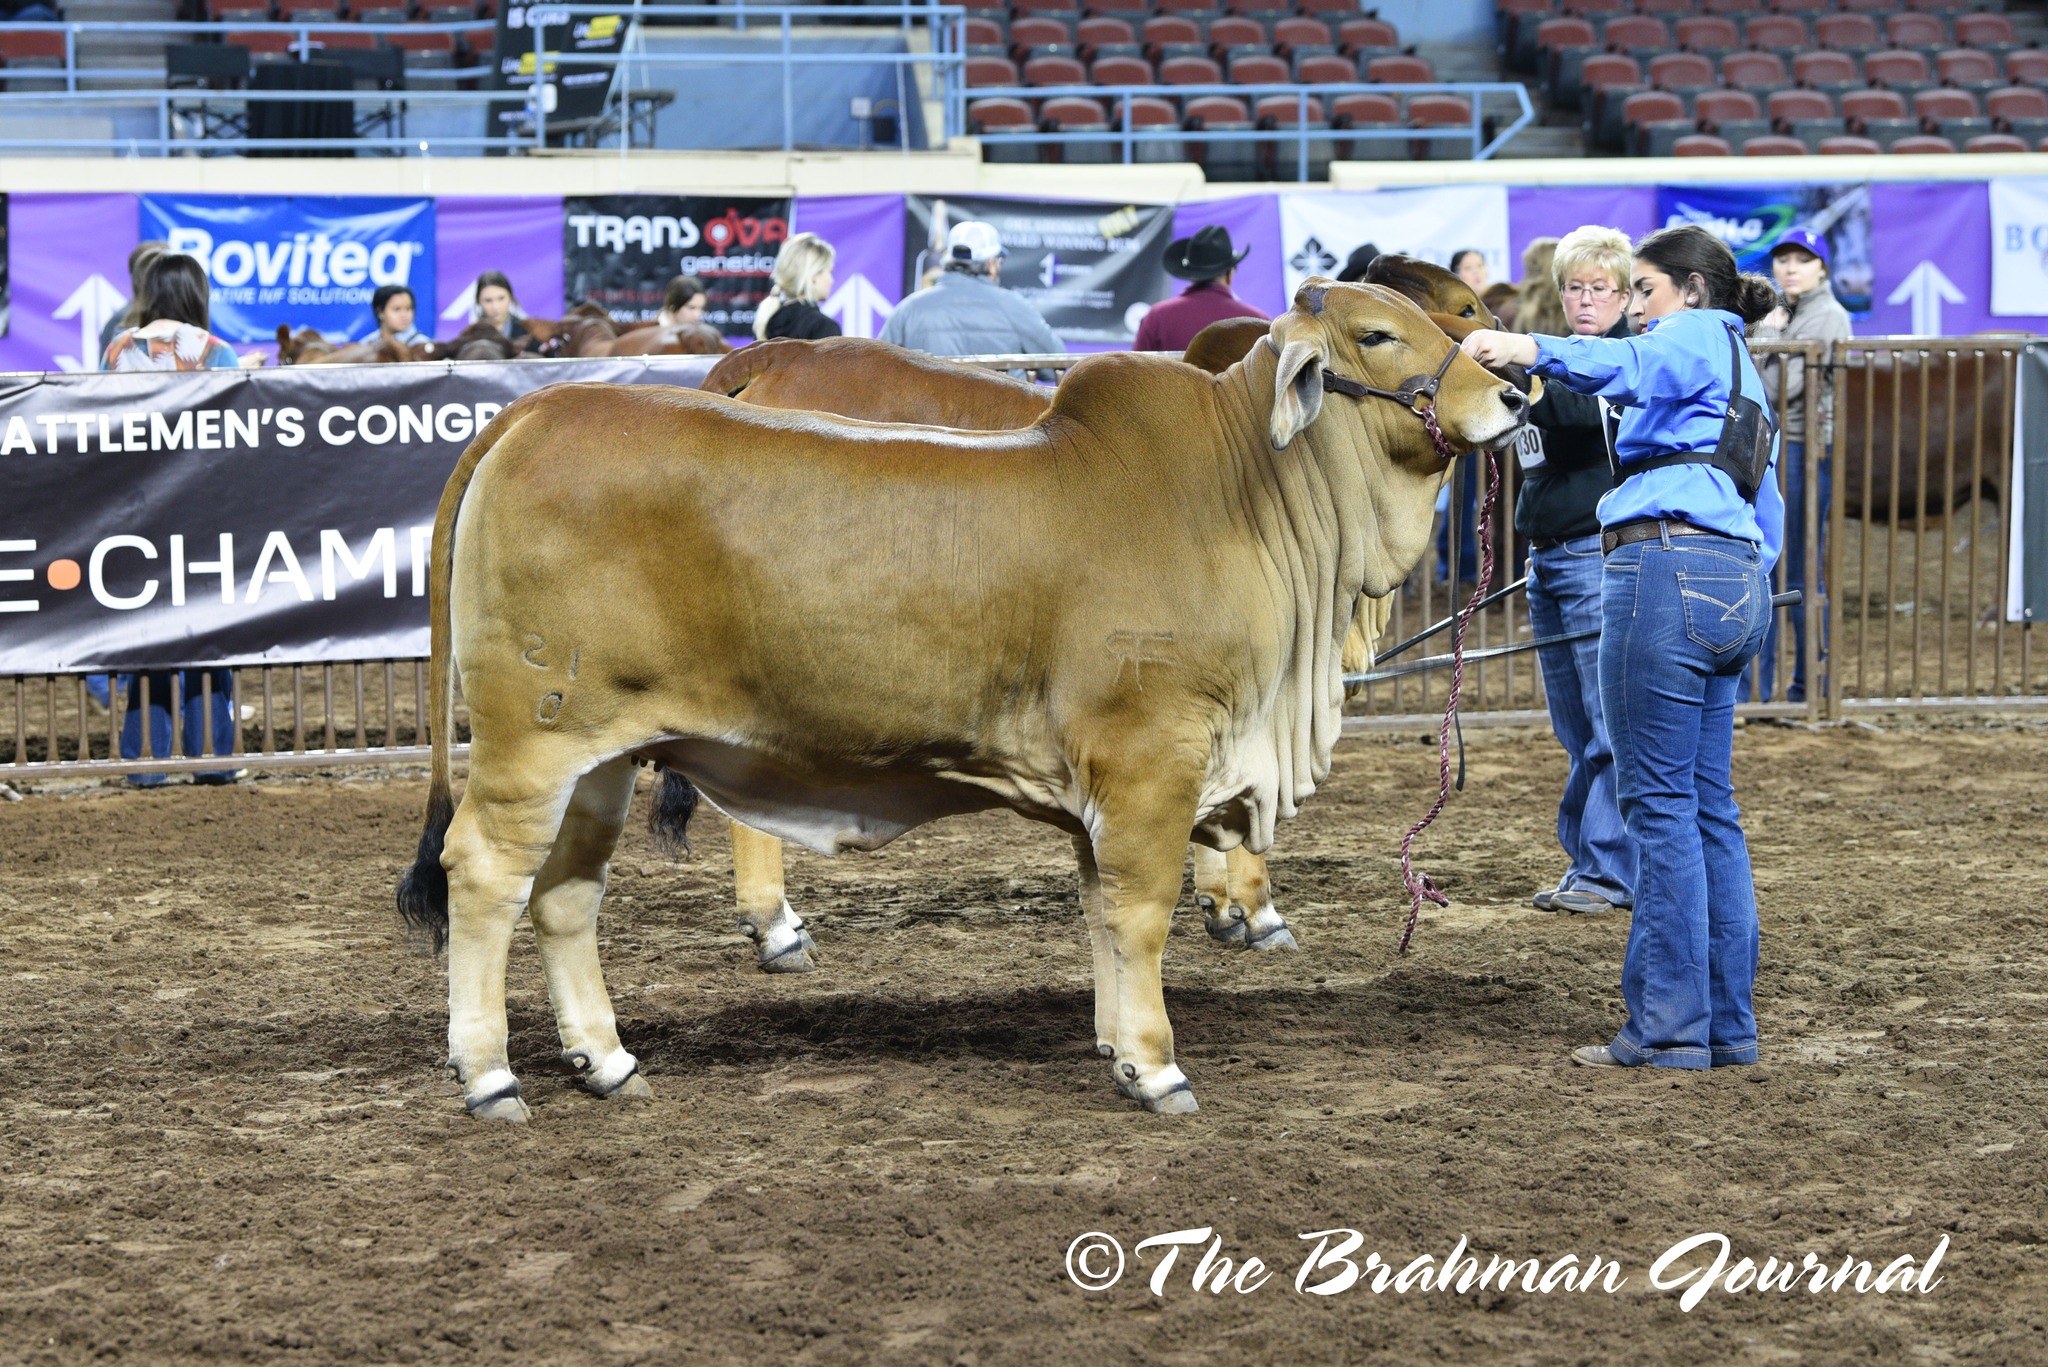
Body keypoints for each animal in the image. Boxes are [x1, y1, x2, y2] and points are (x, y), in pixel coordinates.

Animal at [396, 279, 1529, 1120]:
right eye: (1378, 332)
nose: (1513, 395)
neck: (1240, 493)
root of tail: (539, 407)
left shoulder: (1110, 787)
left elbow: (1101, 914)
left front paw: (1118, 1047)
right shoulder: (1153, 757)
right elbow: (1142, 913)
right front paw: (1158, 1063)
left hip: (601, 758)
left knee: (566, 894)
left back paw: (607, 1058)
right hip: (532, 742)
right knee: (484, 875)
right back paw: (490, 1073)